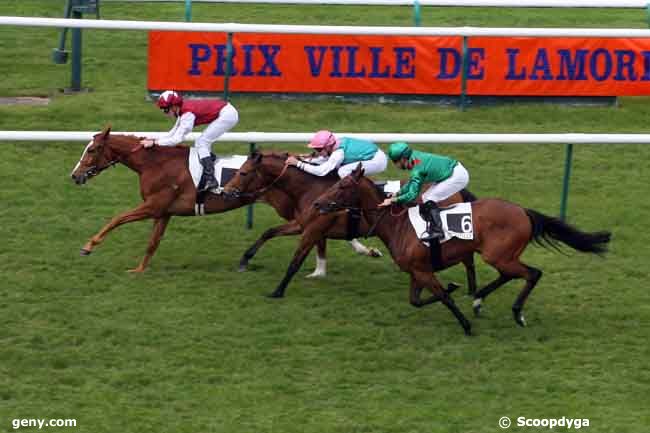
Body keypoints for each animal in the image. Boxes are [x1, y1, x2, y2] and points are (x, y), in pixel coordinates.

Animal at [69, 125, 342, 274]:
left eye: (91, 150)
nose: (74, 175)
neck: (154, 163)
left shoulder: (153, 206)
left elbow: (117, 218)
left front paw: (88, 246)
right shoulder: (164, 212)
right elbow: (152, 243)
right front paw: (139, 270)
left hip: (289, 208)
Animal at [223, 150, 476, 296]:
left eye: (243, 173)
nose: (226, 191)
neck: (310, 190)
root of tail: (460, 191)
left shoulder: (312, 228)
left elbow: (296, 260)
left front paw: (278, 290)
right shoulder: (304, 224)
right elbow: (269, 232)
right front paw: (245, 260)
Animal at [312, 165, 612, 334]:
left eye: (343, 185)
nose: (317, 203)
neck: (397, 224)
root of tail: (523, 212)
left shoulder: (423, 270)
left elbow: (443, 298)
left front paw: (465, 325)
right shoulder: (416, 271)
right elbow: (417, 300)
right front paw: (455, 289)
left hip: (498, 255)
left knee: (532, 274)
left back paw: (517, 313)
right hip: (501, 256)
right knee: (511, 275)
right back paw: (479, 300)